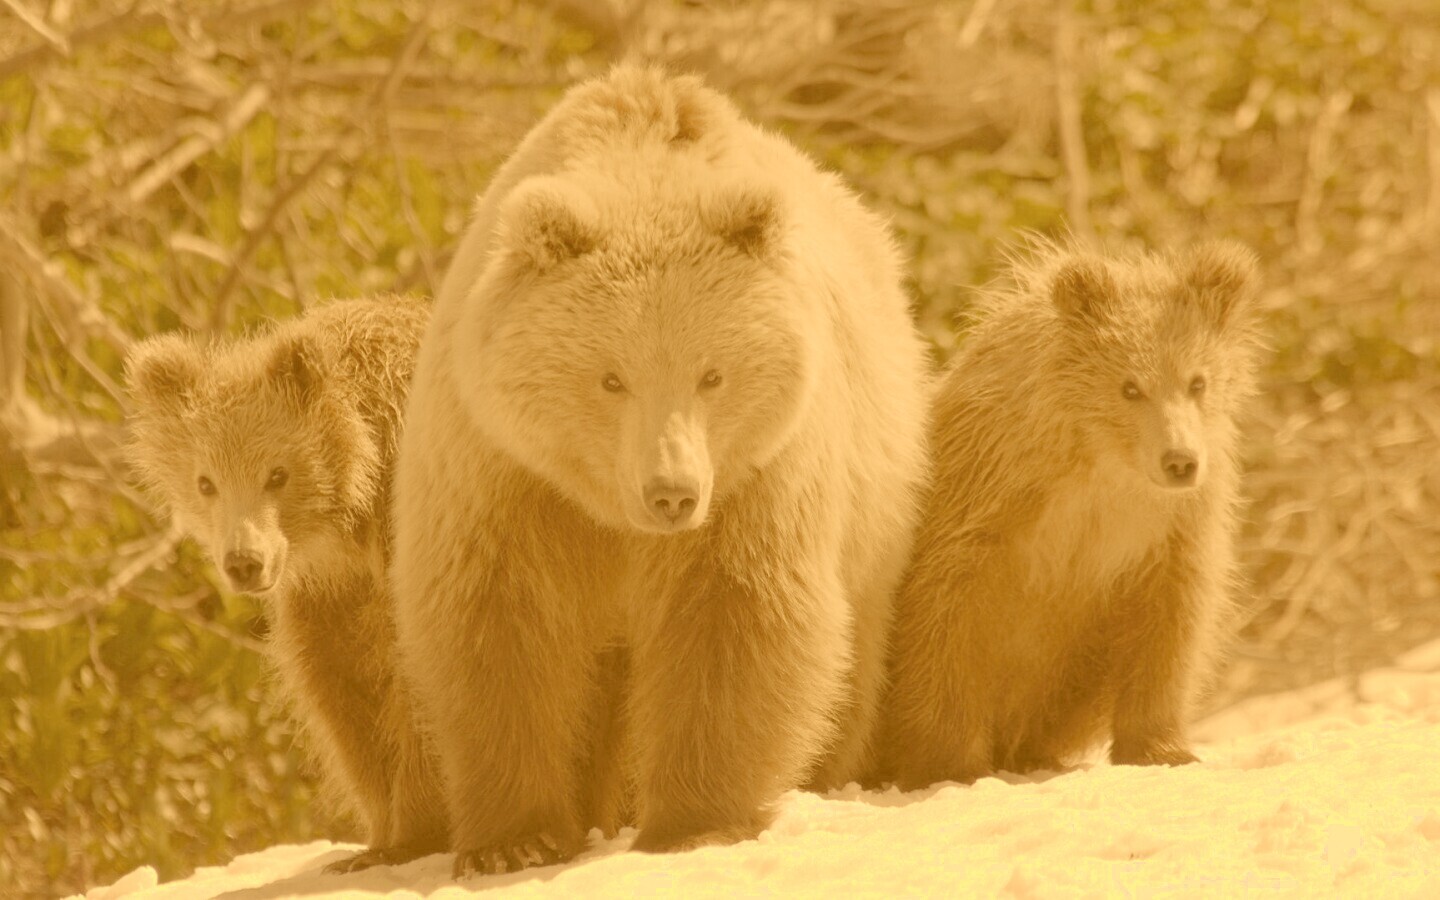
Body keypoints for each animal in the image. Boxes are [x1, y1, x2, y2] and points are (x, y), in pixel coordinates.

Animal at [391, 61, 933, 869]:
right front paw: (513, 841)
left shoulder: (755, 478)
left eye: (713, 373)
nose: (671, 492)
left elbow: (734, 615)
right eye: (611, 378)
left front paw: (696, 821)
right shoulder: (505, 472)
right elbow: (499, 627)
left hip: (874, 503)